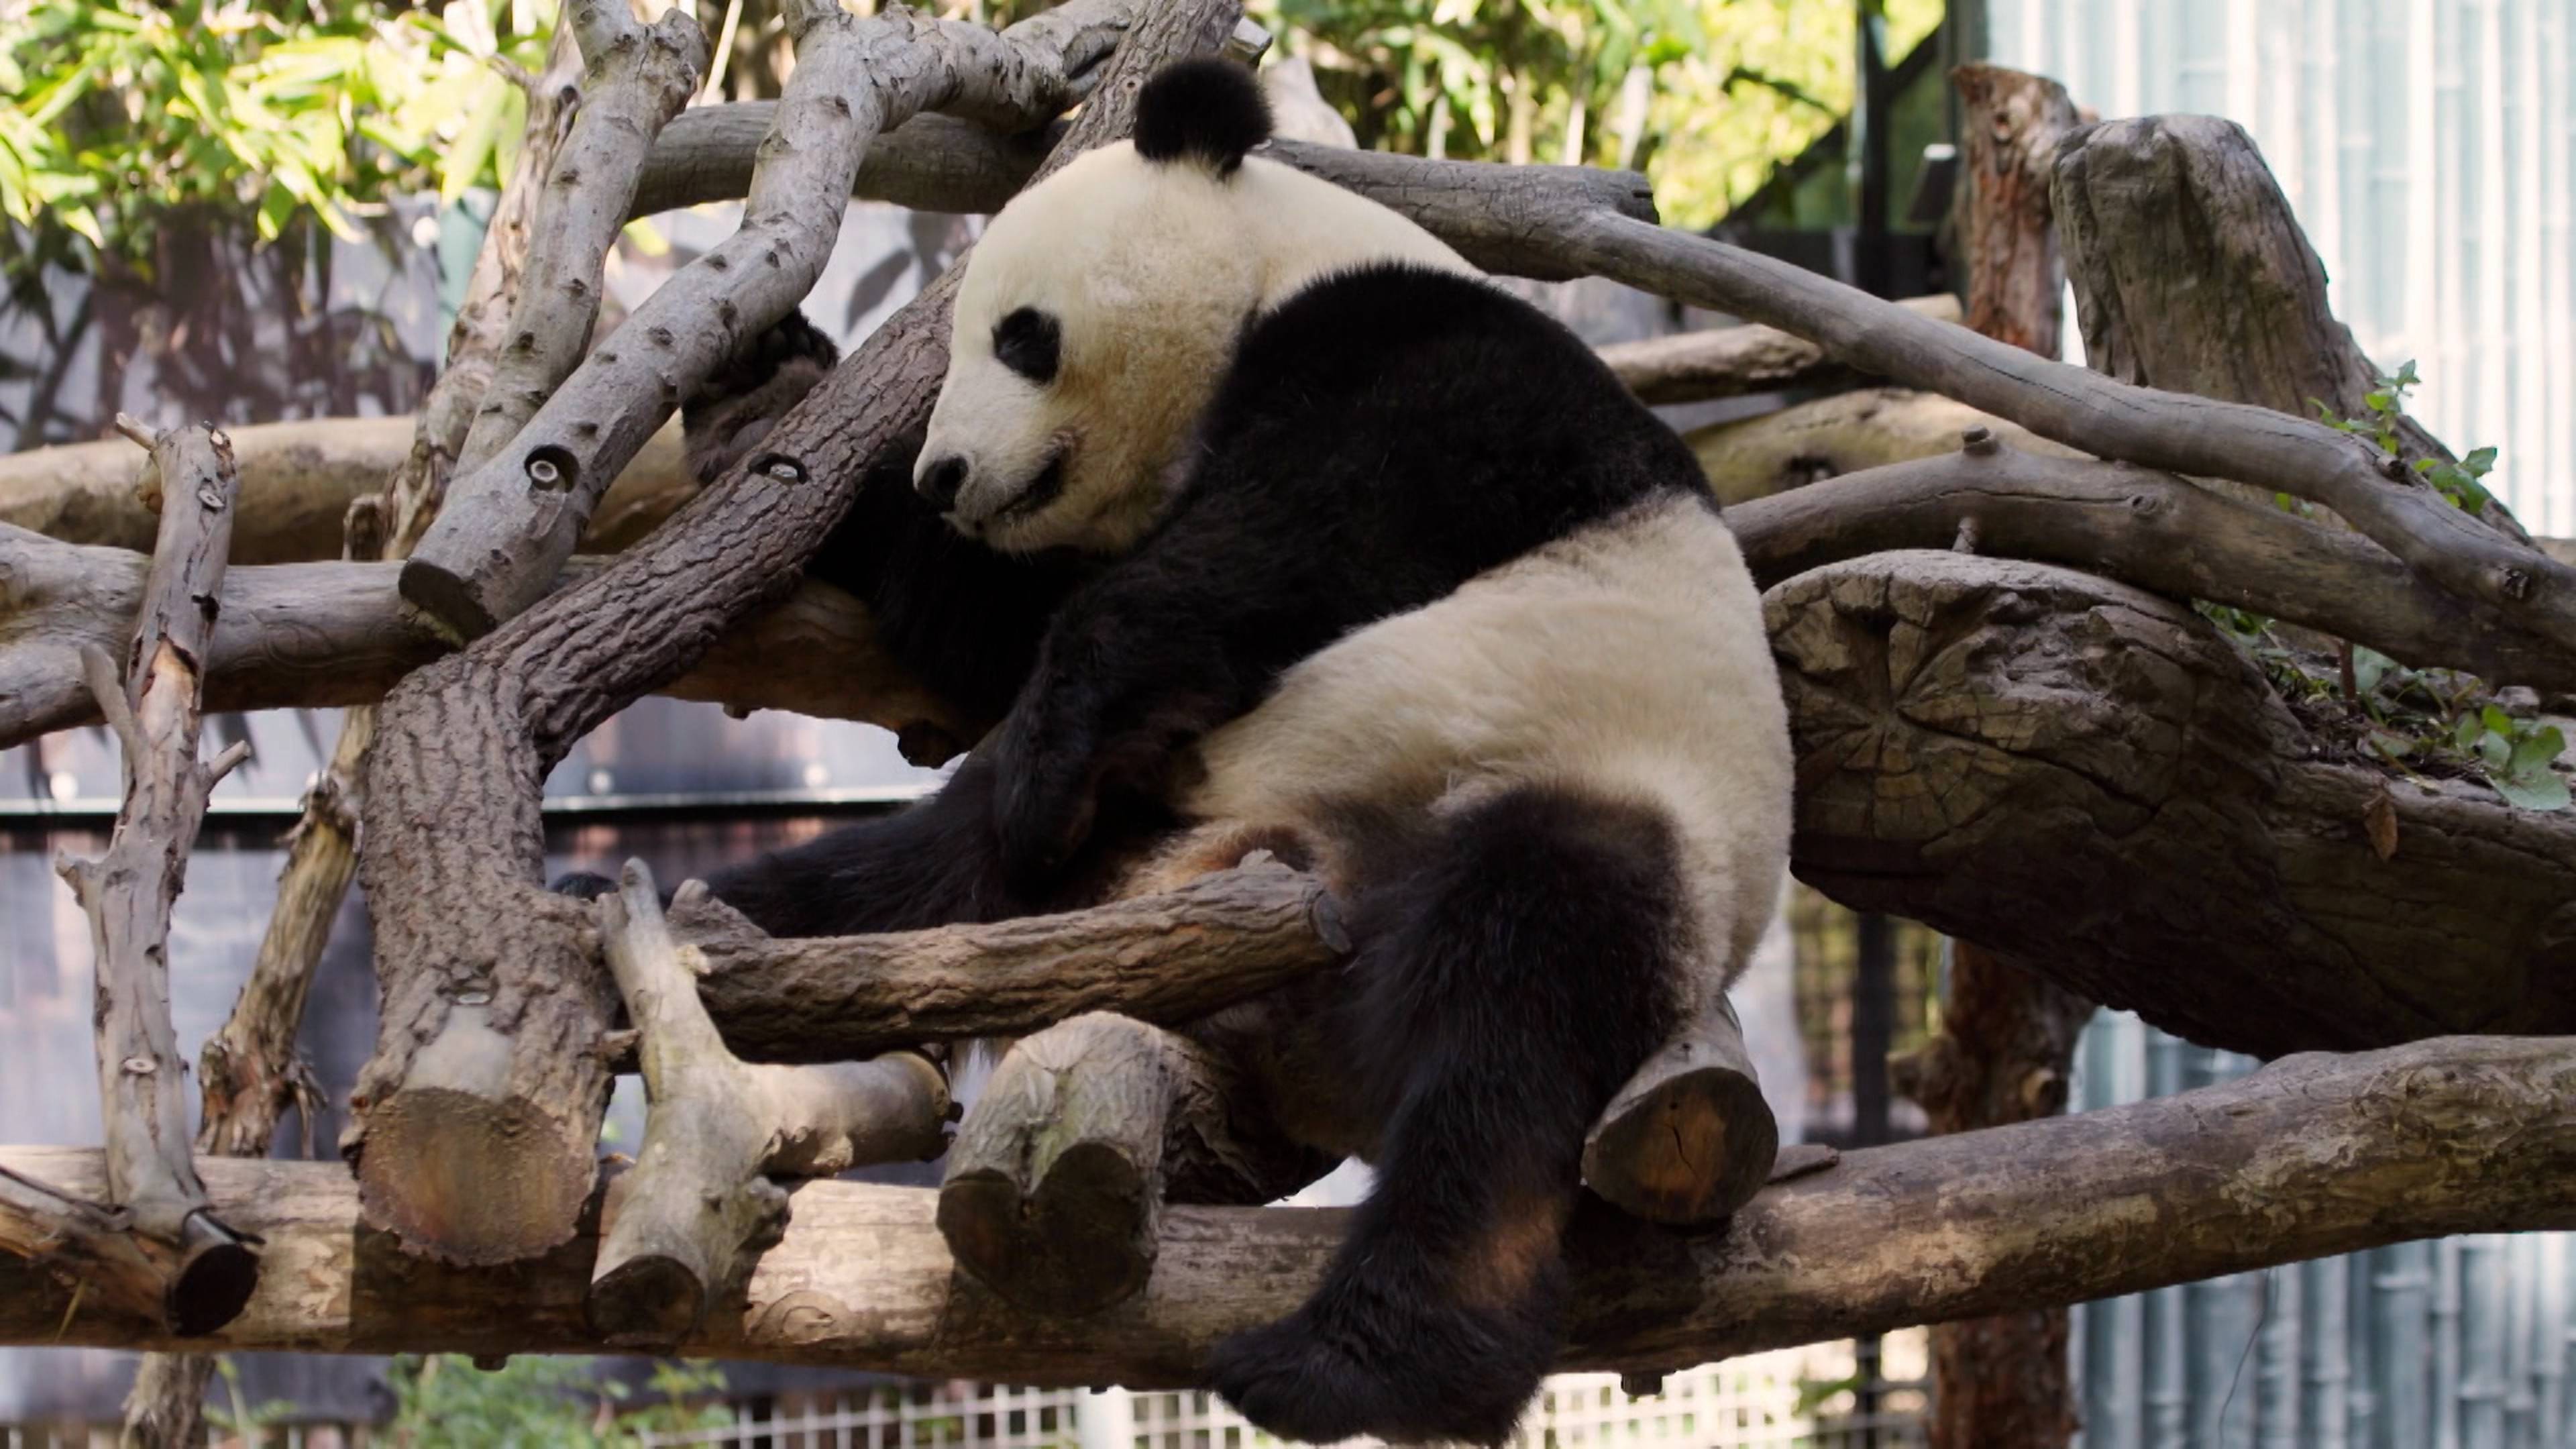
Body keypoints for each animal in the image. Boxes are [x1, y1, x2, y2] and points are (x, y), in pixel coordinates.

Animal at [587, 60, 1793, 1446]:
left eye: (1021, 335)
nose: (947, 471)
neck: (1279, 260)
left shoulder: (1437, 371)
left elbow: (1275, 550)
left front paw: (1055, 741)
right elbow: (979, 623)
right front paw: (760, 391)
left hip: (1595, 802)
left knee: (1512, 1012)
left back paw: (1360, 1363)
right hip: (1164, 827)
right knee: (924, 878)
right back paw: (706, 919)